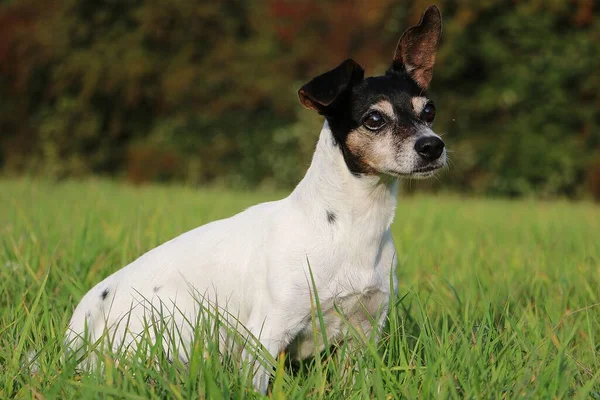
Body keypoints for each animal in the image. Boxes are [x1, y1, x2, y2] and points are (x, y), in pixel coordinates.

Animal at [68, 6, 448, 394]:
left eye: (429, 111)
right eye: (374, 119)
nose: (432, 146)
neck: (351, 227)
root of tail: (80, 326)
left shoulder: (363, 332)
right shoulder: (266, 335)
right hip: (181, 322)